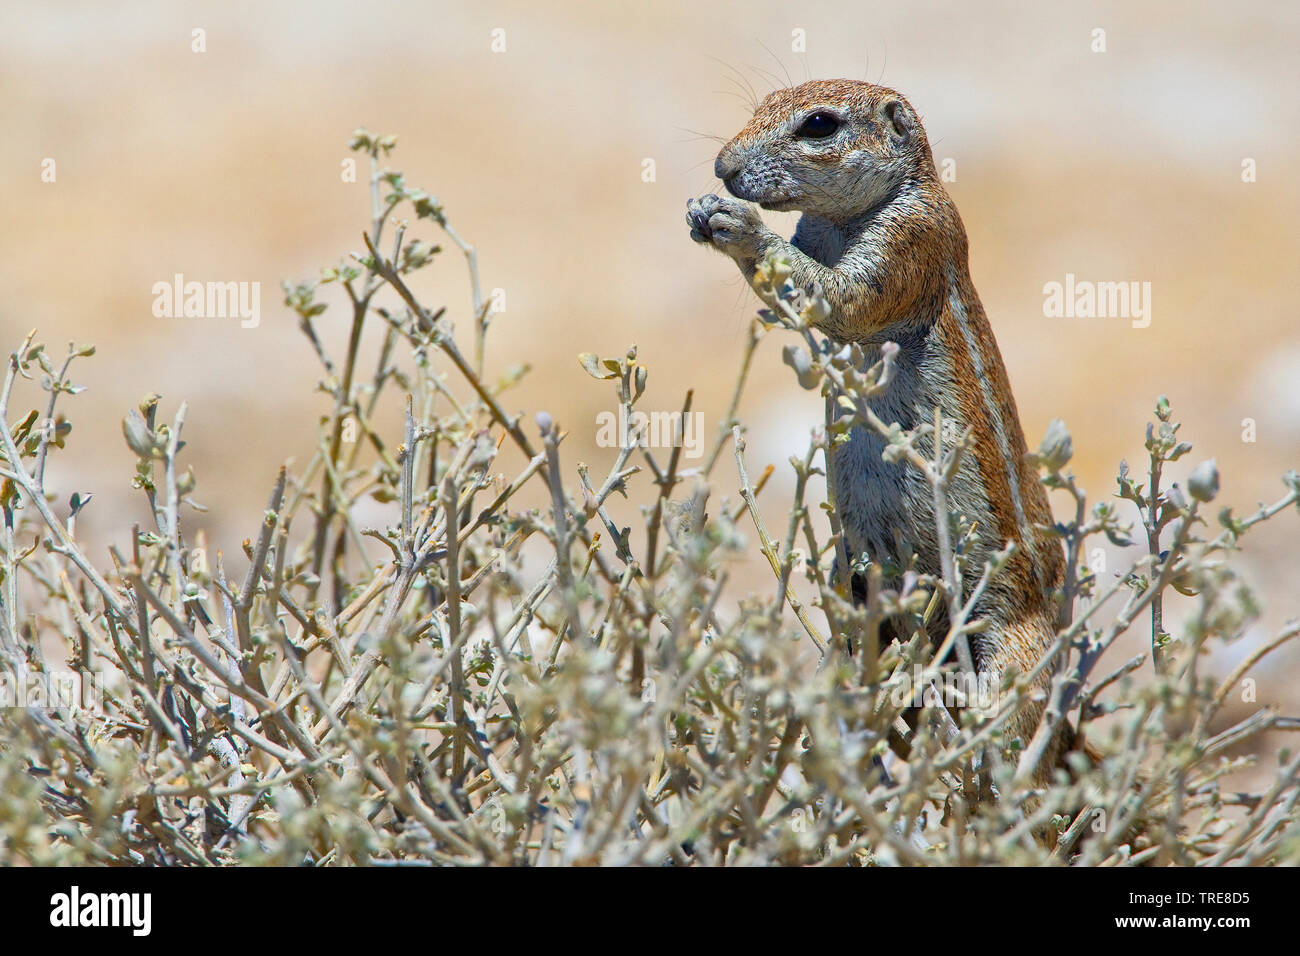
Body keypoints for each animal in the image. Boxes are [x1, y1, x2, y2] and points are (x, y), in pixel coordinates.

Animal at [691, 78, 1066, 775]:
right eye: (761, 104)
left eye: (817, 124)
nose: (723, 168)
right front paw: (704, 211)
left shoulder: (909, 241)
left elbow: (838, 297)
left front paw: (739, 225)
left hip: (1012, 645)